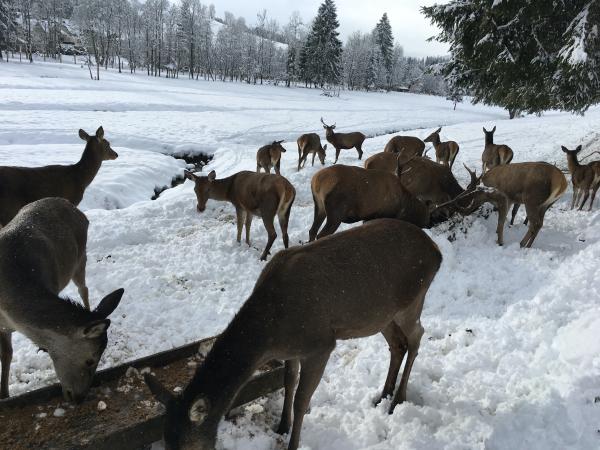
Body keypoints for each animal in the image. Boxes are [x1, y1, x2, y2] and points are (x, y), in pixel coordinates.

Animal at [0, 197, 124, 400]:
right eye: (90, 360)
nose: (80, 398)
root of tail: (69, 204)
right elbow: (6, 354)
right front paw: (4, 394)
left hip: (81, 257)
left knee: (84, 289)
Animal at [146, 218, 440, 450]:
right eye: (166, 443)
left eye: (188, 447)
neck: (271, 334)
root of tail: (436, 252)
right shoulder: (291, 350)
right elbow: (289, 382)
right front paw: (281, 426)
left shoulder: (321, 345)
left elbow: (302, 400)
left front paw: (292, 442)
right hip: (382, 315)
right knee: (397, 344)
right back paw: (383, 394)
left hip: (412, 300)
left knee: (417, 336)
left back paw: (397, 400)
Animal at [308, 163, 438, 239]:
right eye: (428, 215)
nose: (429, 225)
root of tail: (316, 181)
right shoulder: (382, 214)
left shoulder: (369, 216)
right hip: (336, 210)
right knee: (321, 234)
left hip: (319, 206)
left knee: (312, 230)